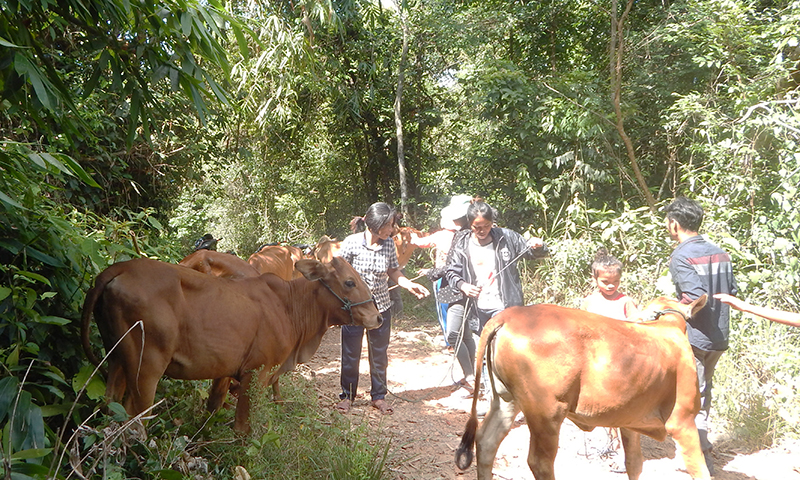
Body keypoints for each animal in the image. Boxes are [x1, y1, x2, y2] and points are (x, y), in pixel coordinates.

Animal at [81, 256, 382, 434]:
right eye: (349, 282)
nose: (377, 317)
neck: (289, 306)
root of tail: (119, 267)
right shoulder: (256, 372)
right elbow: (242, 427)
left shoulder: (224, 372)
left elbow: (213, 407)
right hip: (147, 368)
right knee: (134, 419)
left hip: (117, 359)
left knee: (109, 406)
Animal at [456, 294, 712, 478]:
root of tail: (509, 315)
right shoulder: (682, 422)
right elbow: (700, 471)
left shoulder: (630, 422)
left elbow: (634, 464)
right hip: (547, 412)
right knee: (539, 462)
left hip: (506, 400)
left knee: (486, 442)